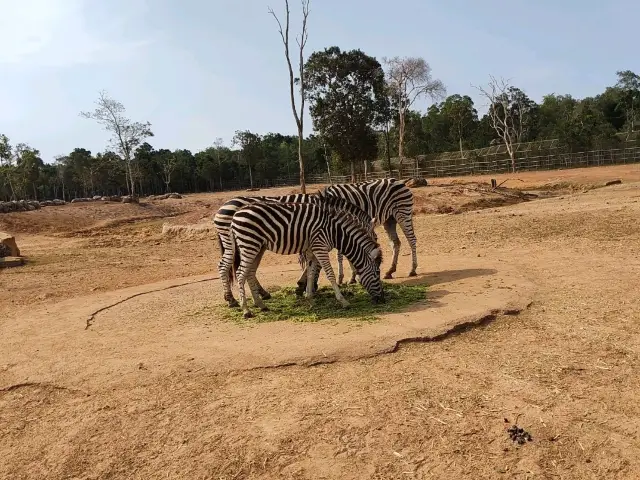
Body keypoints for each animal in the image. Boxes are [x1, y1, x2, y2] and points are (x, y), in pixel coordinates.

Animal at [212, 189, 378, 306]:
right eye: (375, 238)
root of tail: (222, 206)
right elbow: (318, 266)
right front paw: (306, 287)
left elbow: (312, 266)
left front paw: (307, 288)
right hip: (233, 242)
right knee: (224, 266)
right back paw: (231, 299)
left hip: (251, 244)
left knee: (244, 269)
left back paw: (260, 294)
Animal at [231, 202, 384, 318]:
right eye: (377, 273)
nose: (382, 299)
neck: (335, 232)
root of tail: (235, 214)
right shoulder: (320, 247)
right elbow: (330, 274)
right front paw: (343, 301)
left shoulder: (312, 250)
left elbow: (311, 273)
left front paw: (310, 299)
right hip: (249, 244)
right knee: (240, 274)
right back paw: (246, 310)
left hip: (258, 247)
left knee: (250, 272)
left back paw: (261, 305)